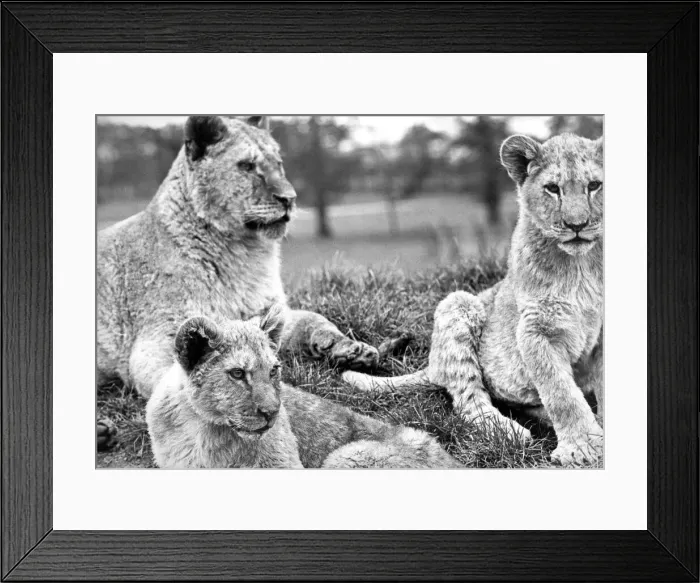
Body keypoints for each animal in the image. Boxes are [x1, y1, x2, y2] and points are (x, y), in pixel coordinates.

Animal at [98, 115, 378, 449]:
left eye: (278, 164)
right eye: (246, 166)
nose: (290, 199)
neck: (244, 257)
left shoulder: (271, 313)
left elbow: (314, 319)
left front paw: (352, 349)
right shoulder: (154, 345)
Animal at [344, 133, 604, 466]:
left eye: (594, 185)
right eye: (552, 188)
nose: (577, 225)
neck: (581, 265)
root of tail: (433, 363)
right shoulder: (535, 329)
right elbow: (561, 392)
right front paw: (582, 447)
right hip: (458, 304)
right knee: (468, 400)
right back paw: (509, 432)